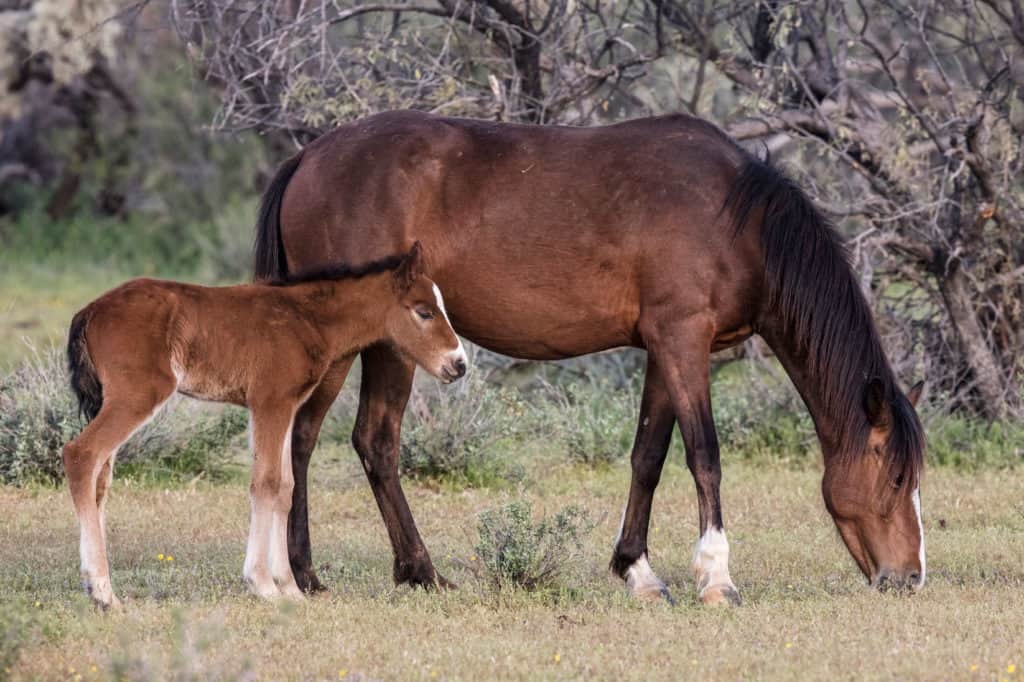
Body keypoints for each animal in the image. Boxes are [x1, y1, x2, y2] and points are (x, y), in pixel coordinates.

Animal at [61, 243, 467, 609]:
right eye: (424, 312)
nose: (459, 364)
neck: (306, 319)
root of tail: (89, 311)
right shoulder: (270, 402)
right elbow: (266, 483)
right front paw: (262, 584)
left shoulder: (287, 406)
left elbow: (285, 487)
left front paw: (289, 587)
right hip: (139, 394)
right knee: (81, 454)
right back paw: (103, 592)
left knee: (100, 476)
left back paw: (96, 586)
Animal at [254, 110, 927, 605]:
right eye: (897, 478)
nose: (910, 577)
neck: (738, 219)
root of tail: (308, 157)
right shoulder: (684, 340)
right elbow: (705, 455)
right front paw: (716, 577)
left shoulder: (665, 349)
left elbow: (649, 457)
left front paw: (639, 571)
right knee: (327, 438)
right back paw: (347, 573)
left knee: (348, 440)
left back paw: (376, 571)